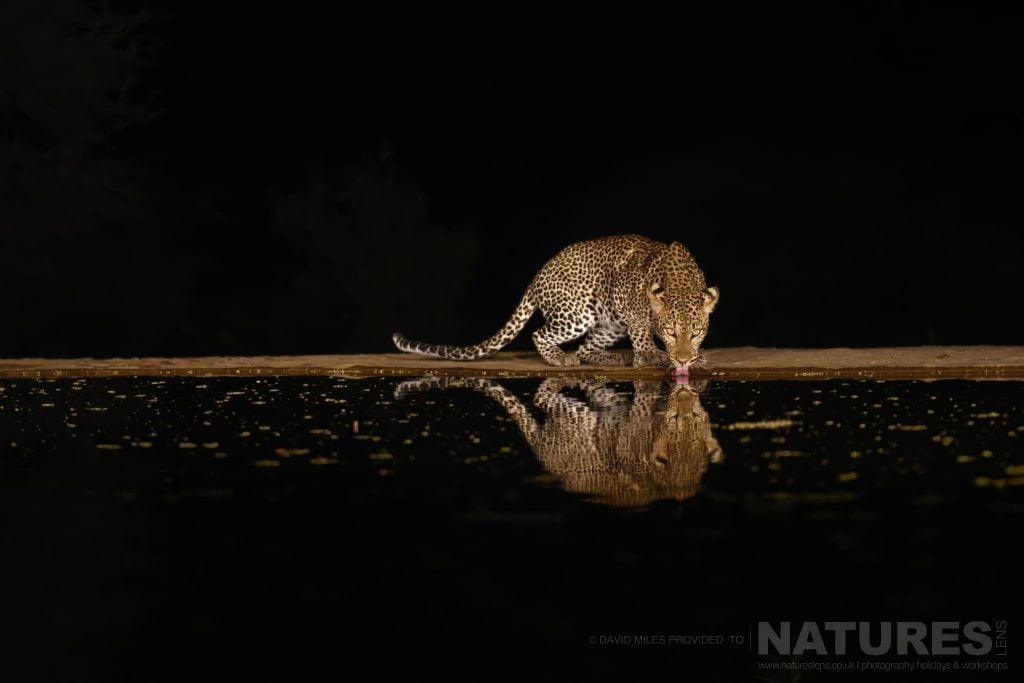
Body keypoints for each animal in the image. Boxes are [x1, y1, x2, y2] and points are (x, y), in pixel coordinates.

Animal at [393, 234, 719, 370]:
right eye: (671, 332)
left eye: (696, 333)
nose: (683, 360)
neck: (680, 280)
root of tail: (537, 276)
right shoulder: (623, 294)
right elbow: (640, 327)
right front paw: (650, 355)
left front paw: (695, 357)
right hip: (578, 314)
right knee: (541, 334)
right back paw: (559, 358)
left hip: (608, 325)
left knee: (586, 348)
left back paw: (610, 358)